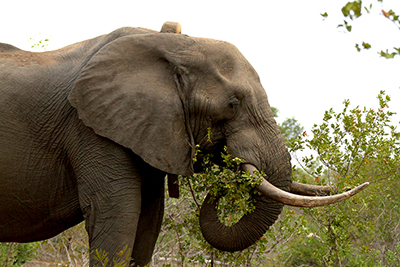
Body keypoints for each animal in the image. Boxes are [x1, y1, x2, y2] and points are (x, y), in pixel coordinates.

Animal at [0, 22, 368, 266]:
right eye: (232, 105)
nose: (228, 165)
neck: (168, 44)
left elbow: (148, 219)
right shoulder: (91, 129)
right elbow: (118, 213)